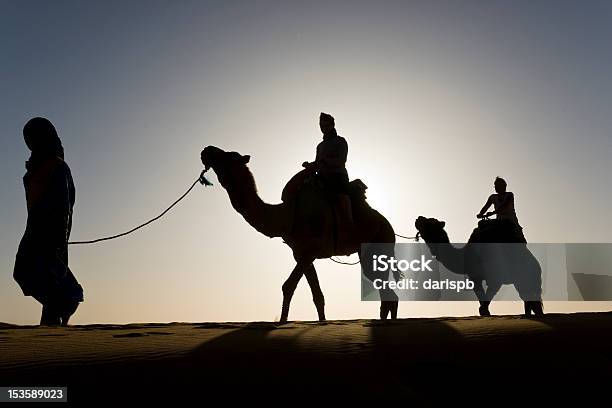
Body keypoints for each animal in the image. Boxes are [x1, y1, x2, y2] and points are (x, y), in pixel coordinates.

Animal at [201, 147, 400, 322]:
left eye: (231, 156)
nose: (207, 150)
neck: (286, 215)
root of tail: (388, 226)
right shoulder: (301, 254)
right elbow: (317, 295)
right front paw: (319, 322)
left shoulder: (310, 251)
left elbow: (288, 286)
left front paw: (282, 322)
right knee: (386, 292)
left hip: (380, 241)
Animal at [414, 215, 544, 318]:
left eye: (430, 222)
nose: (418, 218)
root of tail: (537, 265)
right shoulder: (475, 277)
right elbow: (482, 299)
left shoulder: (495, 278)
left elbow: (485, 302)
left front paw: (486, 312)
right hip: (522, 282)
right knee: (528, 300)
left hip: (529, 277)